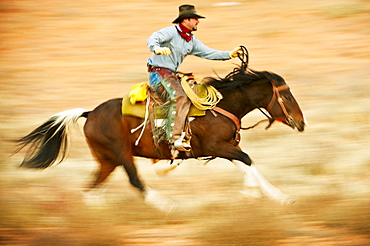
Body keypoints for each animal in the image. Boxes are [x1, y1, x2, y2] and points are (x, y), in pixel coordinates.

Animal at [15, 65, 306, 208]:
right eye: (287, 96)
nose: (302, 123)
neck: (220, 106)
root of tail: (89, 113)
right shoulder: (217, 146)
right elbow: (247, 160)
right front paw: (263, 195)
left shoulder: (224, 147)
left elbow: (245, 164)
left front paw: (266, 196)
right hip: (121, 154)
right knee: (135, 181)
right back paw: (170, 206)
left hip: (107, 160)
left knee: (92, 189)